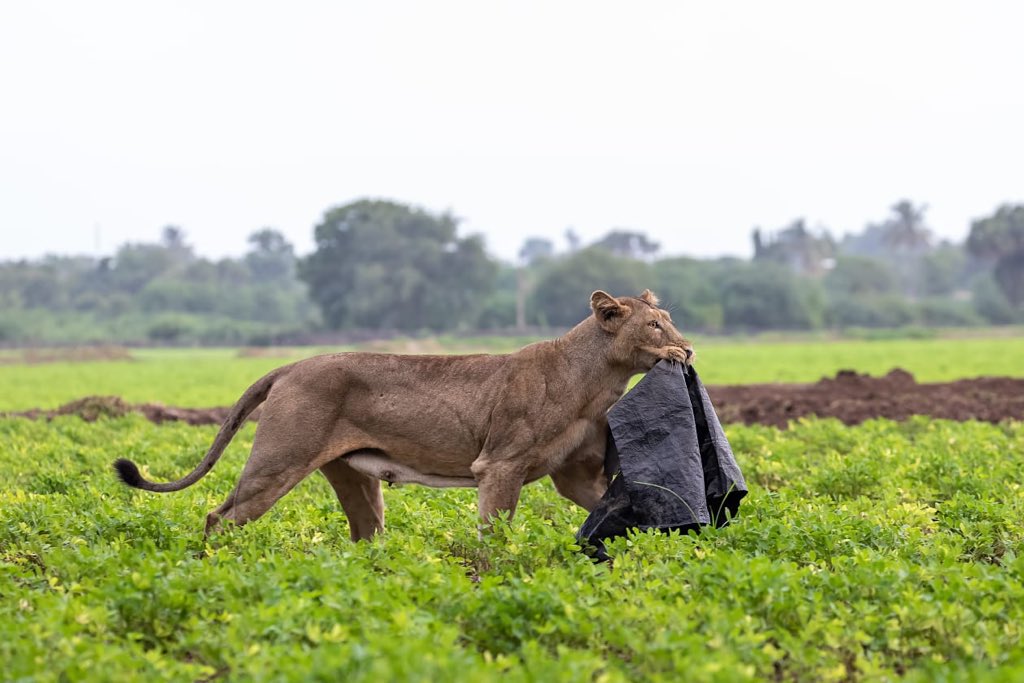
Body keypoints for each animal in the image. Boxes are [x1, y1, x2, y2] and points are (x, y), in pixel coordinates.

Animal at [114, 290, 693, 541]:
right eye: (654, 326)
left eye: (668, 320)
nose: (687, 349)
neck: (597, 381)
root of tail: (290, 365)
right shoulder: (499, 466)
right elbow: (494, 538)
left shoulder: (574, 477)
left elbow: (619, 505)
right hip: (278, 460)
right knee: (221, 516)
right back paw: (212, 575)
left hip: (351, 477)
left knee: (365, 535)